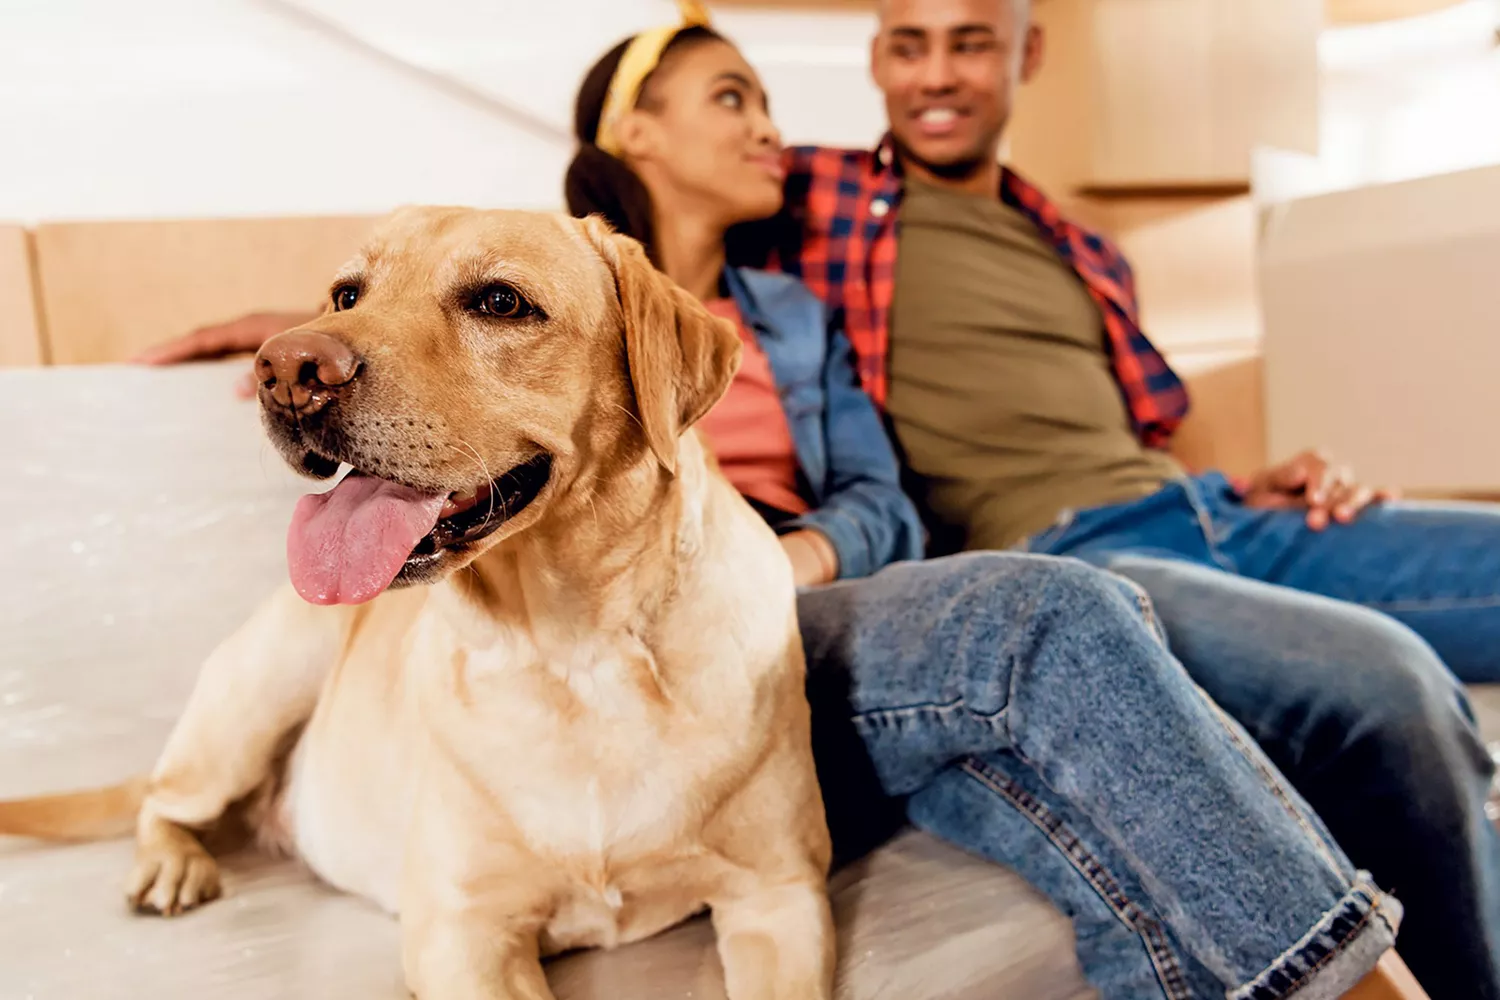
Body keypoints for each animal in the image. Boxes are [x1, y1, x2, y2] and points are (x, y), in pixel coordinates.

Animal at [0, 206, 840, 995]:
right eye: (346, 294)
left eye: (501, 301)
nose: (286, 366)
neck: (574, 650)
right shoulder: (461, 931)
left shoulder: (780, 895)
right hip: (257, 694)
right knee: (162, 801)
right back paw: (171, 863)